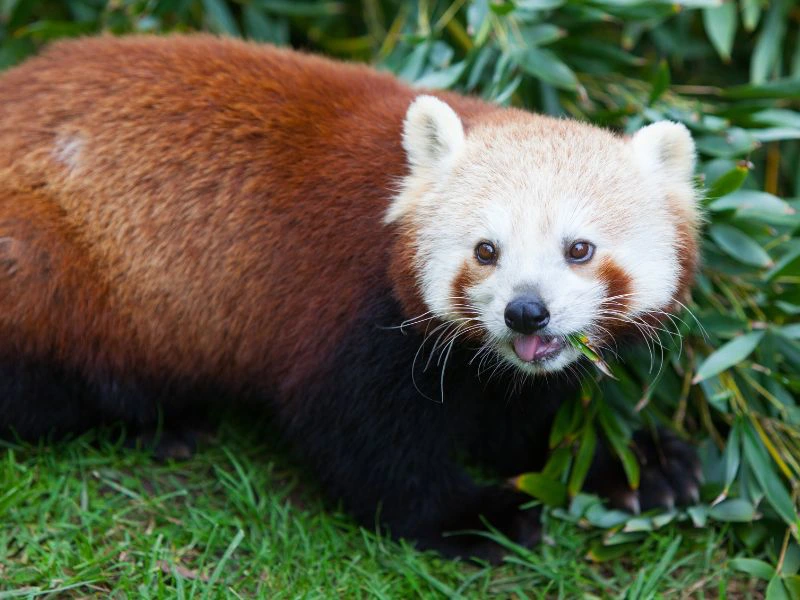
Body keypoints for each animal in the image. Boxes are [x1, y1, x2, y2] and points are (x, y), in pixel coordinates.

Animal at [0, 34, 701, 561]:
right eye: (486, 250)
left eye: (578, 249)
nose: (525, 311)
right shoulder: (348, 312)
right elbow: (363, 441)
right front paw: (474, 516)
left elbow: (518, 419)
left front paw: (635, 463)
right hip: (46, 264)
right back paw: (164, 419)